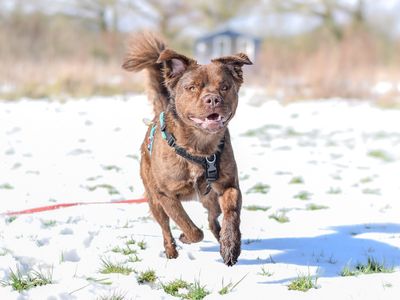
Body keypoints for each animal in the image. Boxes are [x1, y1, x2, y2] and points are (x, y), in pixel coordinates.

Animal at [123, 32, 252, 264]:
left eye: (225, 87)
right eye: (192, 87)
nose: (213, 99)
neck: (198, 147)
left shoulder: (229, 186)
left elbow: (231, 214)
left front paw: (230, 245)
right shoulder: (165, 195)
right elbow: (190, 227)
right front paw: (185, 236)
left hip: (210, 198)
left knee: (213, 218)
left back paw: (220, 236)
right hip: (154, 200)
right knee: (165, 226)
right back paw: (171, 250)